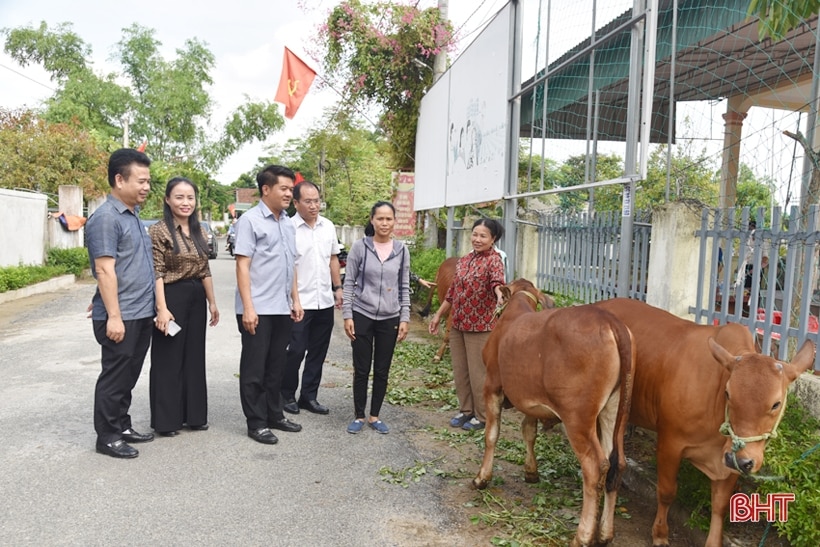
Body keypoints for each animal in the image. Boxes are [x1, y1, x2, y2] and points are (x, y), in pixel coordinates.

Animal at [474, 282, 636, 547]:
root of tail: (612, 323)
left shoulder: (491, 386)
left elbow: (491, 435)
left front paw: (482, 478)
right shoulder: (528, 399)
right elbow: (528, 432)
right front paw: (531, 472)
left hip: (577, 418)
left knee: (595, 467)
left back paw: (583, 536)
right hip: (615, 411)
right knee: (617, 464)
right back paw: (605, 533)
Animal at [592, 300, 816, 547]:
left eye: (776, 403)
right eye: (729, 394)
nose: (744, 460)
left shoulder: (730, 461)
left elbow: (720, 506)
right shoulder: (670, 443)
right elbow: (667, 492)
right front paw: (660, 533)